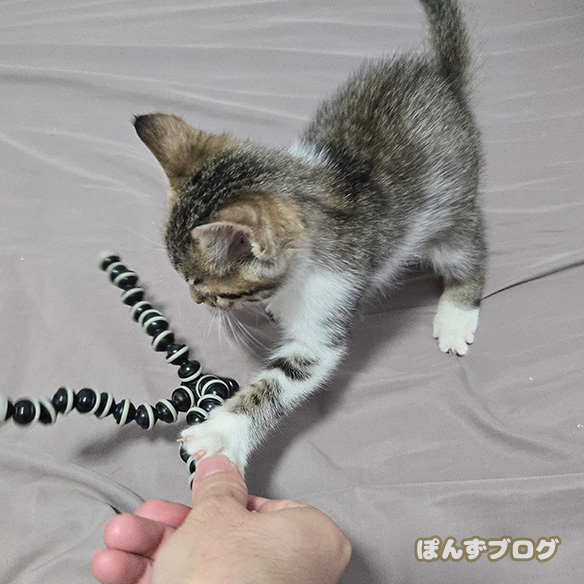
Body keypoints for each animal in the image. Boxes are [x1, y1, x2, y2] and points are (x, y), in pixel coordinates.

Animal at [134, 0, 486, 472]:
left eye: (202, 285)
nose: (193, 300)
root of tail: (443, 79)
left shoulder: (325, 318)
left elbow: (282, 381)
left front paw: (221, 433)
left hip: (450, 210)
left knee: (470, 249)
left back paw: (455, 317)